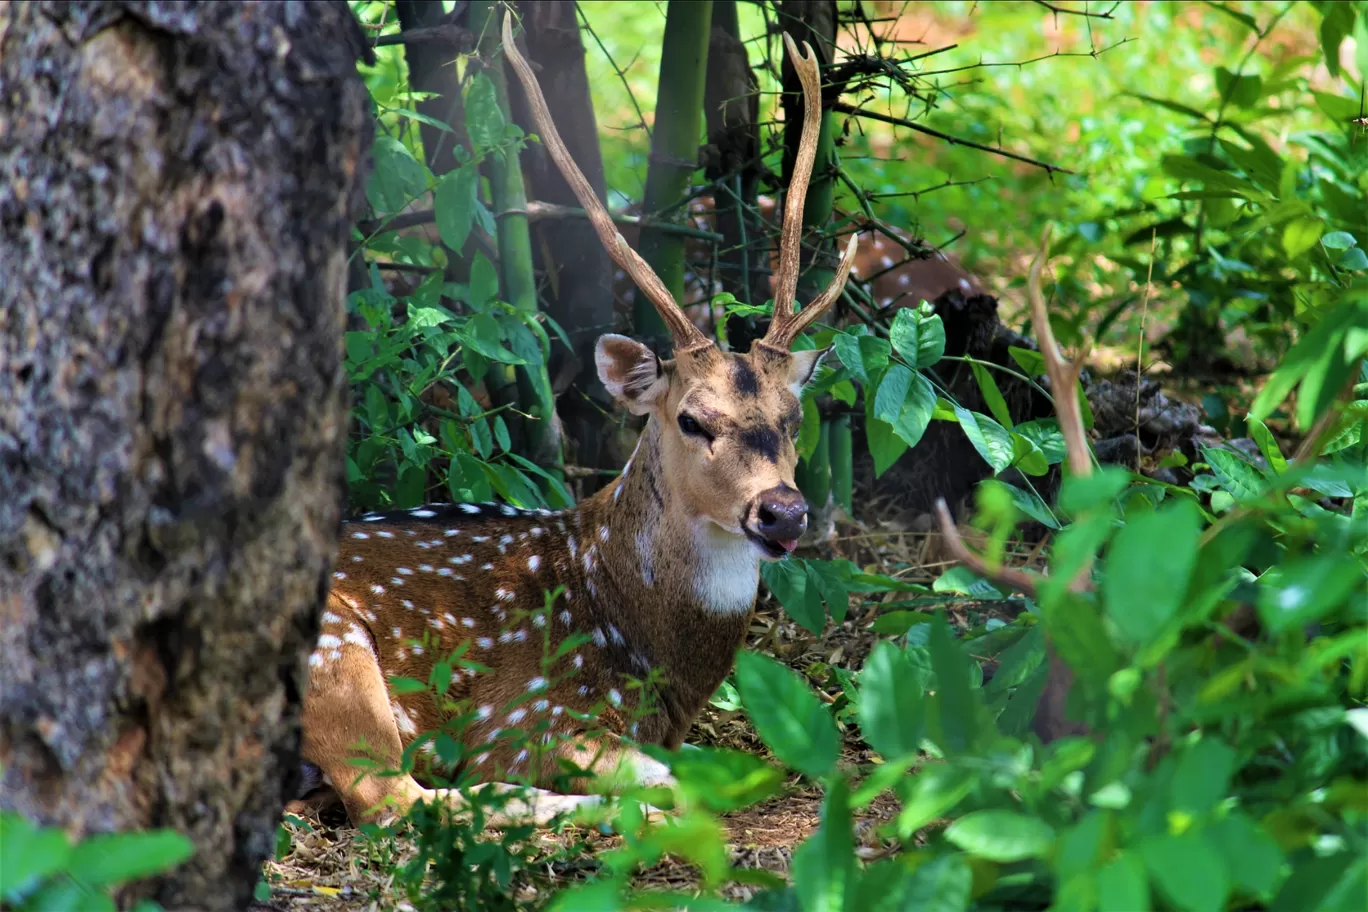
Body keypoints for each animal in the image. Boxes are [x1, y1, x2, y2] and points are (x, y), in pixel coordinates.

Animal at [291, 12, 853, 825]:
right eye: (692, 419)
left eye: (792, 415)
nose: (781, 512)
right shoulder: (530, 716)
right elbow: (662, 776)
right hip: (337, 654)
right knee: (393, 800)